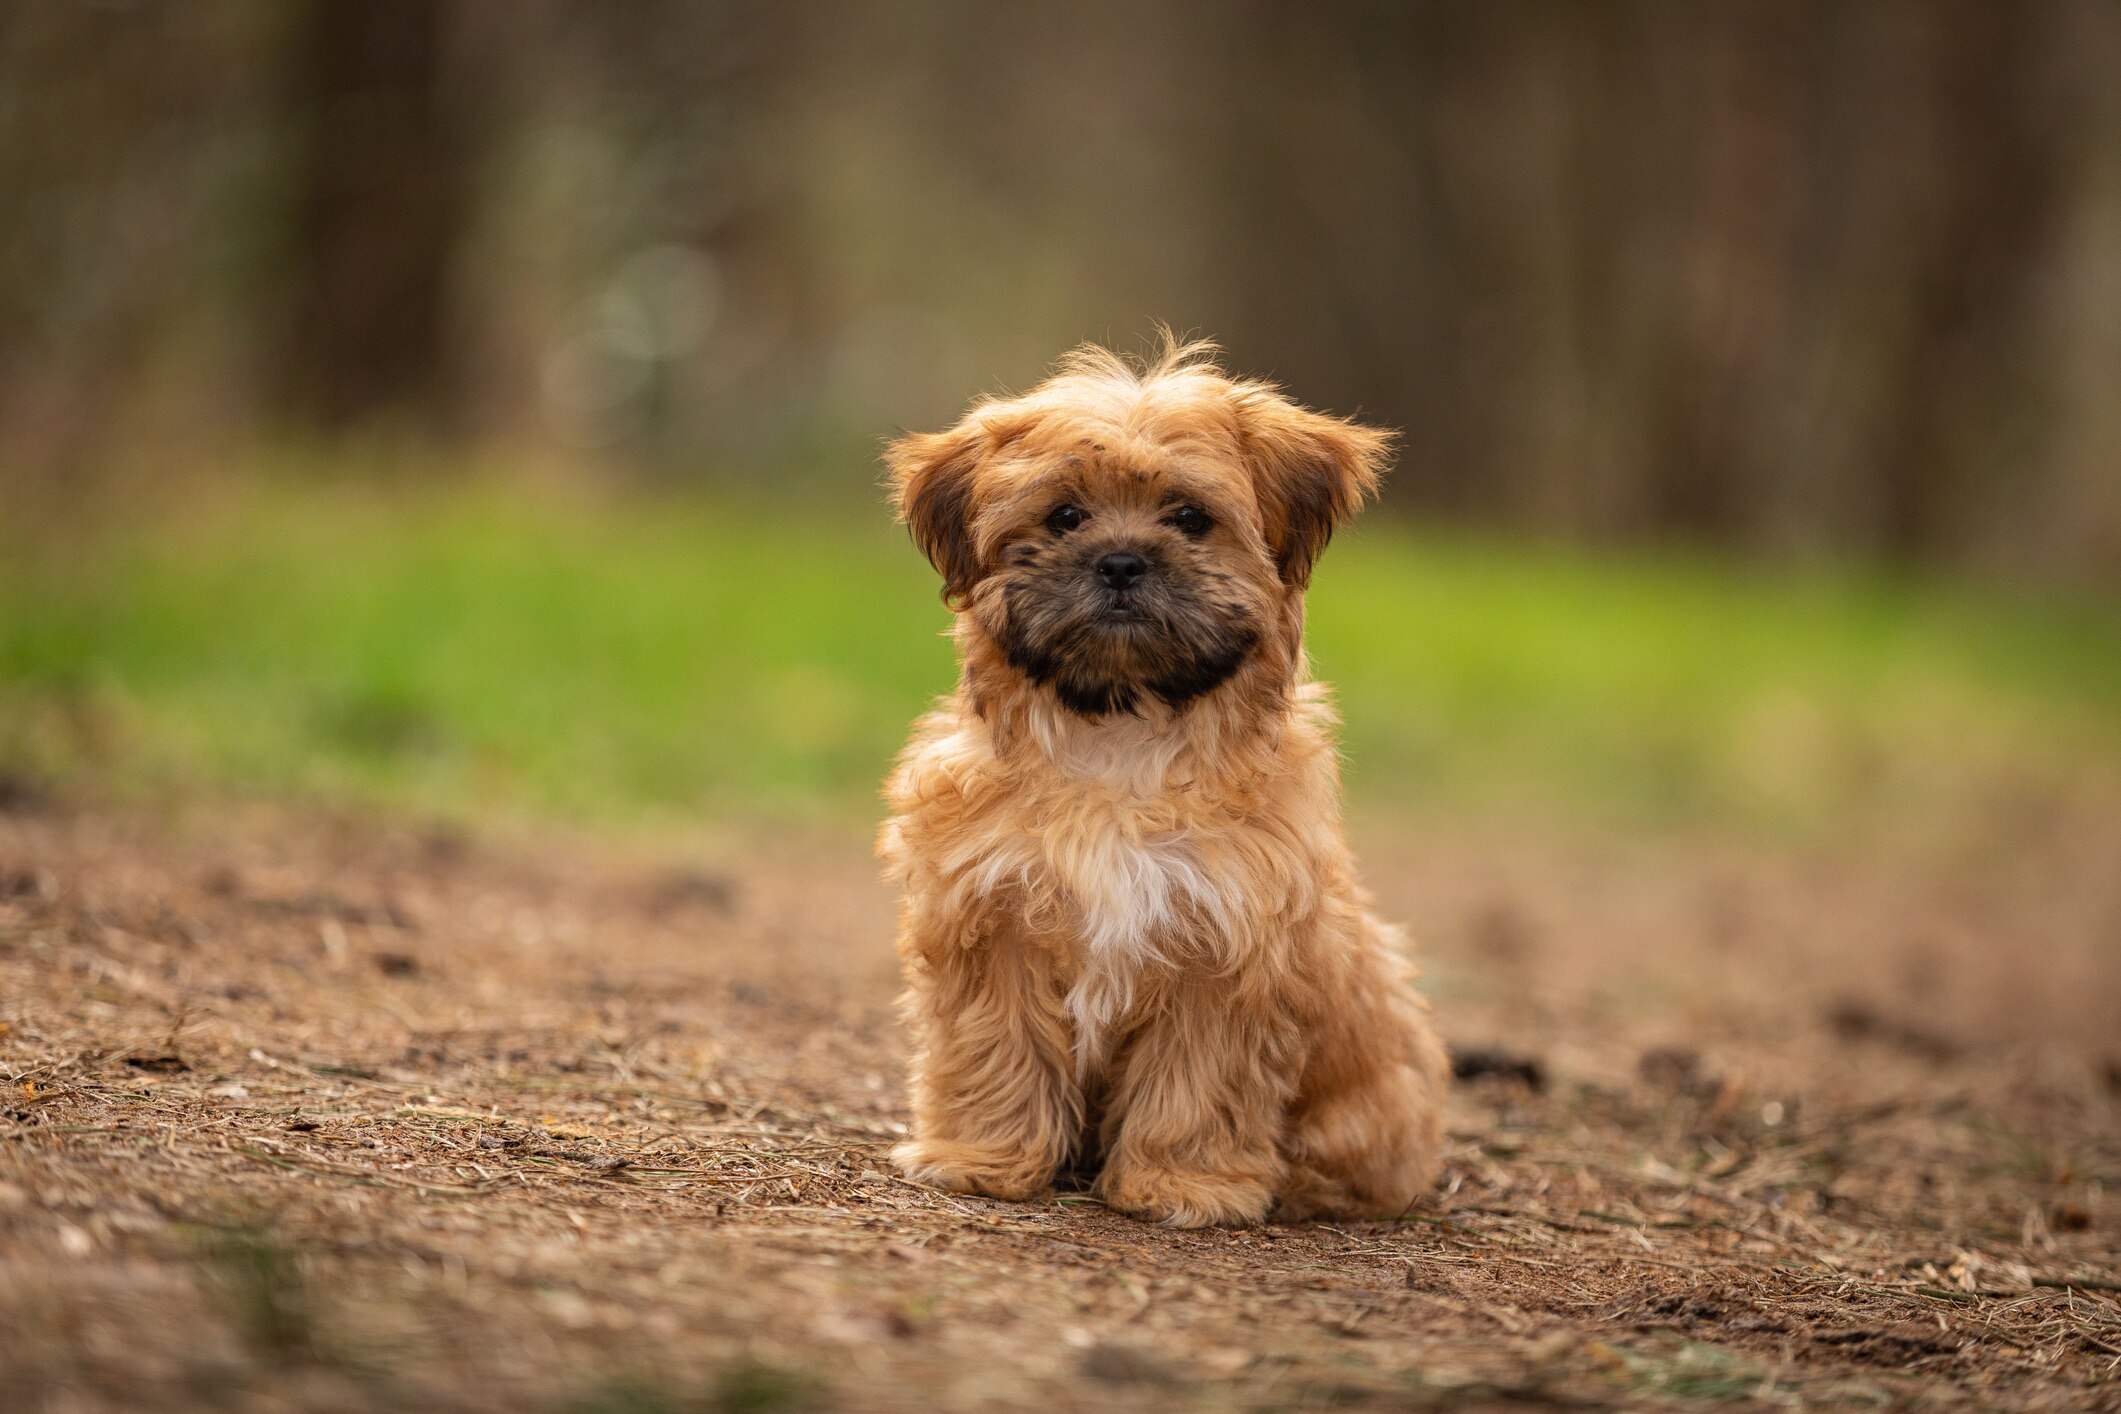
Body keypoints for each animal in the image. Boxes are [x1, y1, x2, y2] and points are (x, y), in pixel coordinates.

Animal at [869, 339, 1450, 1229]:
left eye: (1189, 518)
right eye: (1063, 516)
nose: (1120, 562)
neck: (1122, 733)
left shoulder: (1226, 944)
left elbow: (1197, 1083)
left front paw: (1183, 1184)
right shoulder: (989, 919)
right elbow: (996, 1046)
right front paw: (983, 1158)